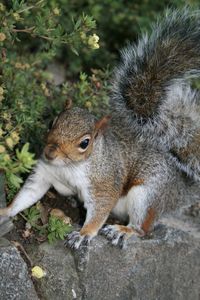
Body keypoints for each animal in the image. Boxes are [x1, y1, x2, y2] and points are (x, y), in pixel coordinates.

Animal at [0, 8, 200, 250]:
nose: (49, 152)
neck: (69, 167)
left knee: (142, 229)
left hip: (147, 194)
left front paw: (84, 233)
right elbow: (28, 194)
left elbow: (99, 210)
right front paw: (5, 211)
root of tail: (179, 192)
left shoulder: (104, 182)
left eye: (85, 143)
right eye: (51, 123)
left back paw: (123, 230)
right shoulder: (44, 173)